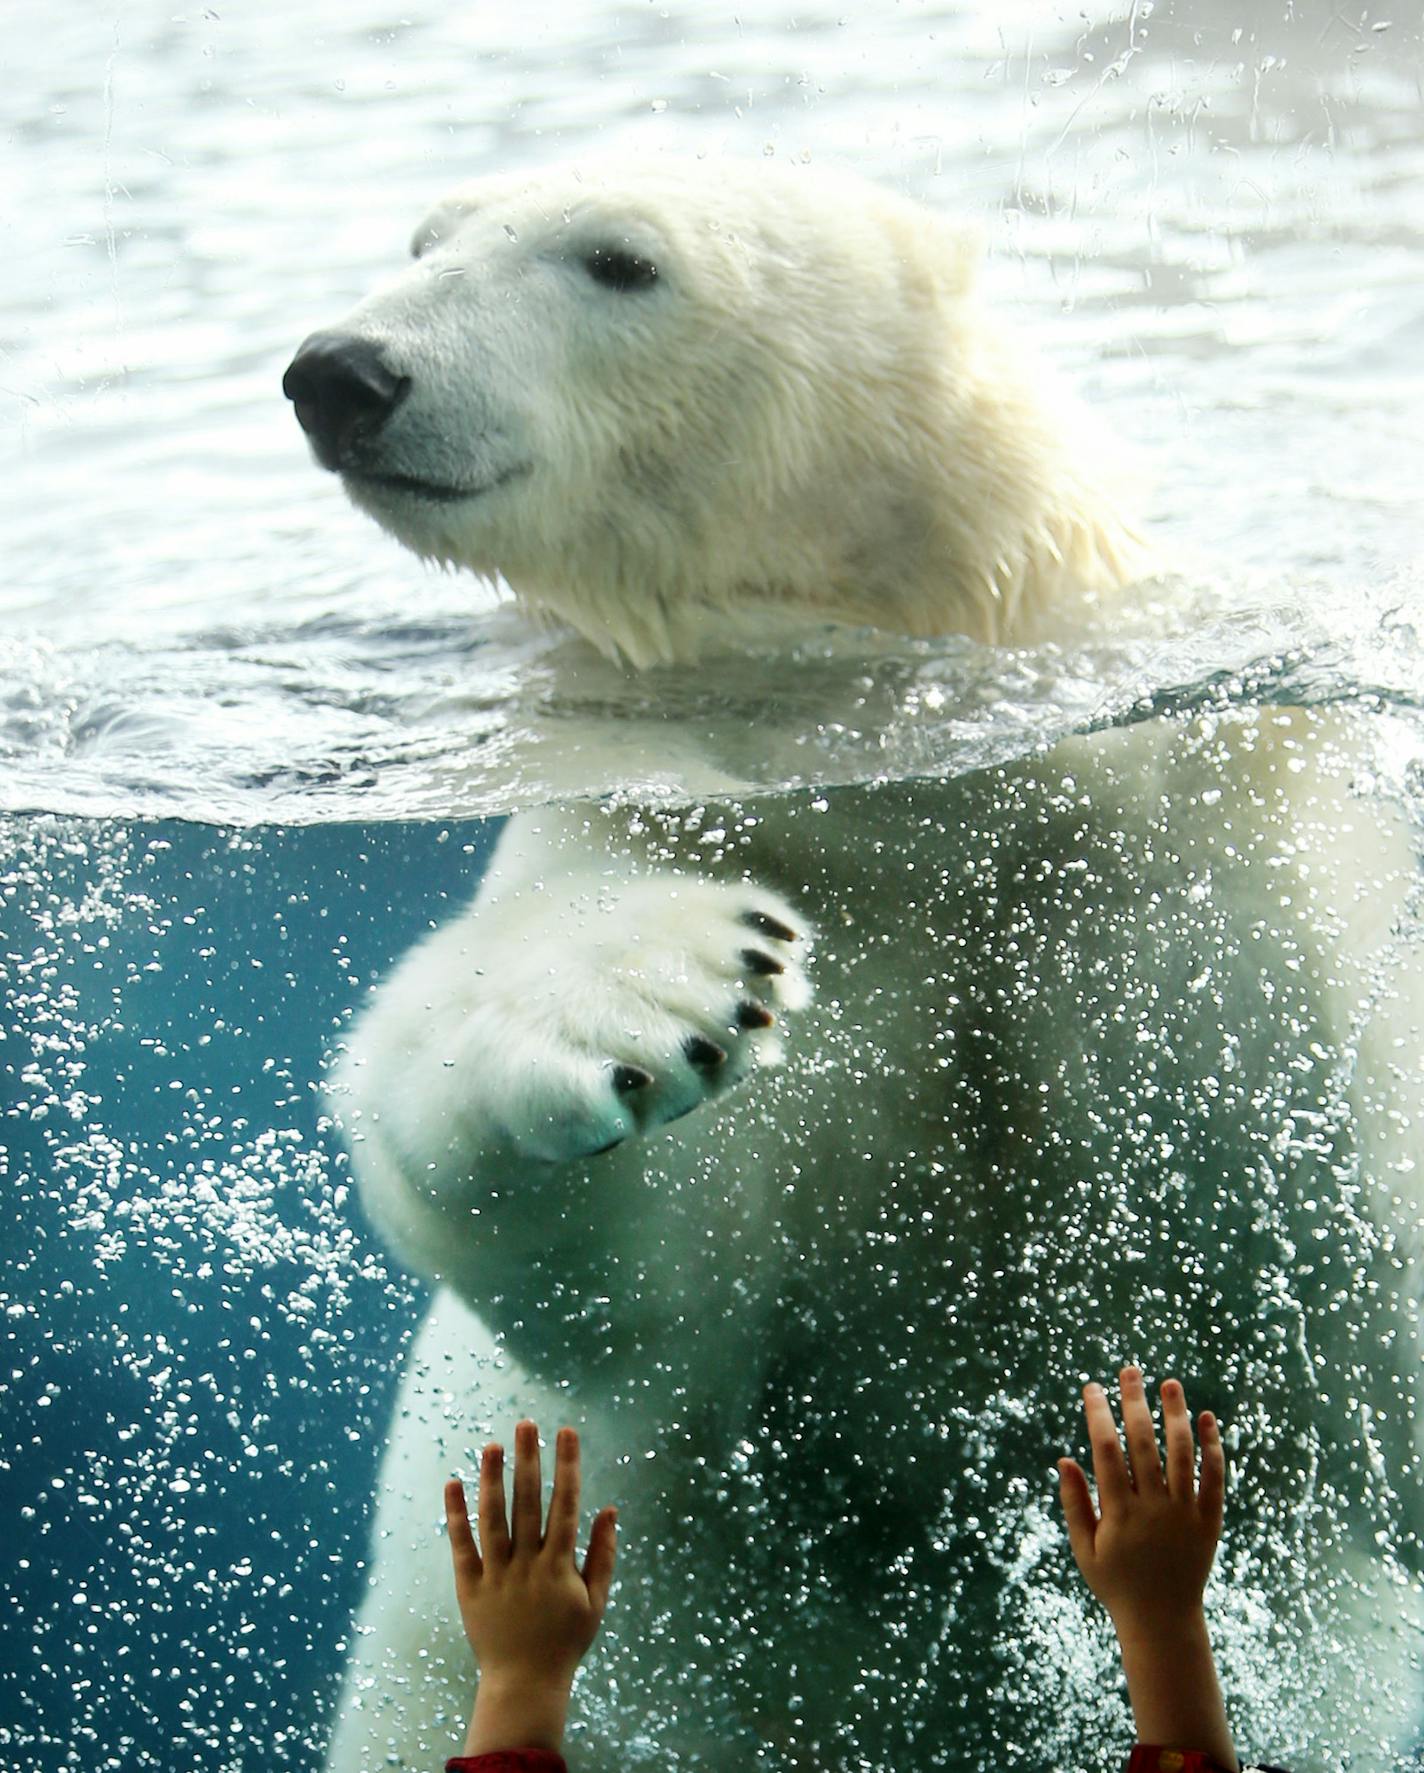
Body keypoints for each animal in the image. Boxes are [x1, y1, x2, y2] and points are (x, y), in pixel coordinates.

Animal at [283, 159, 1418, 1765]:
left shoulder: (1213, 854)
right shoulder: (682, 823)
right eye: (424, 237)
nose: (343, 373)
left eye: (617, 260)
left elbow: (1351, 1282)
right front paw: (656, 995)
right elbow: (643, 1268)